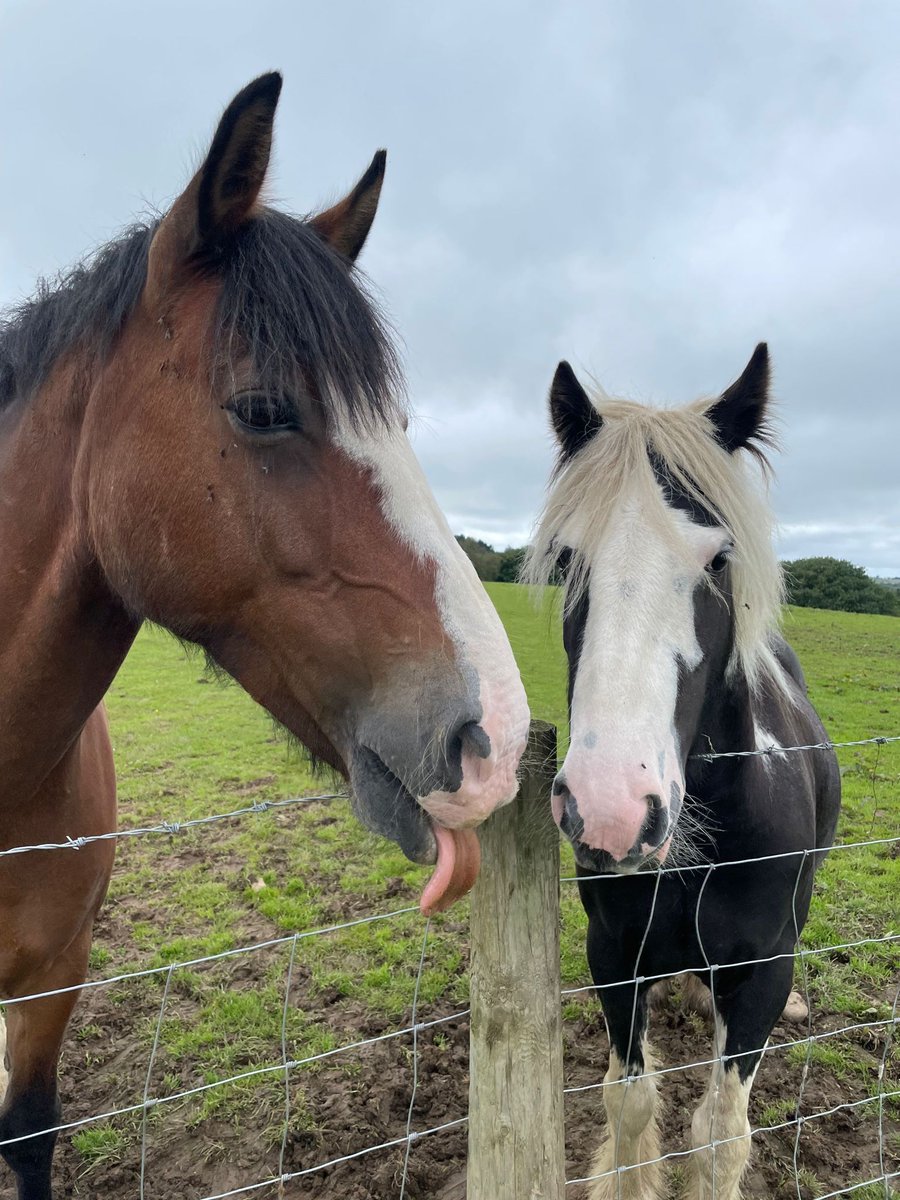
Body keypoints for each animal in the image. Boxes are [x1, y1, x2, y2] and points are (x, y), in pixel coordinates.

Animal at [528, 343, 844, 1195]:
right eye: (567, 556)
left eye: (719, 558)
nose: (610, 811)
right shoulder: (615, 959)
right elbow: (629, 1101)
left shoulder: (763, 970)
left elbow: (720, 1135)